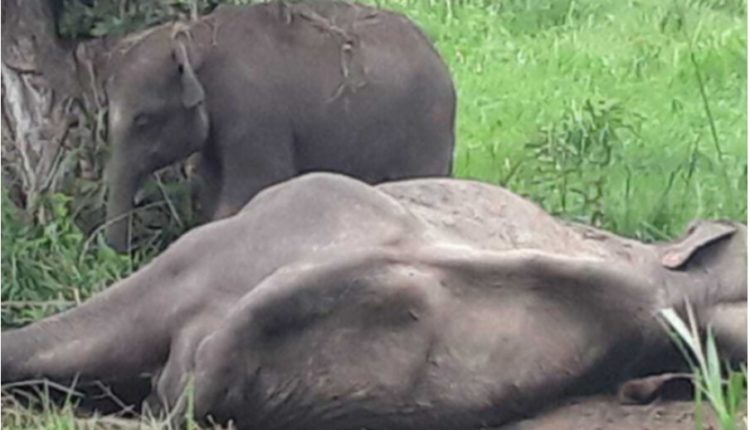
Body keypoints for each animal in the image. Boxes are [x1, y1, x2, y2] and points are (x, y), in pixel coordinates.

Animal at [102, 0, 456, 252]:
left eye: (142, 120)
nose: (122, 254)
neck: (195, 37)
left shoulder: (254, 114)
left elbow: (252, 189)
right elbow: (213, 190)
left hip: (427, 129)